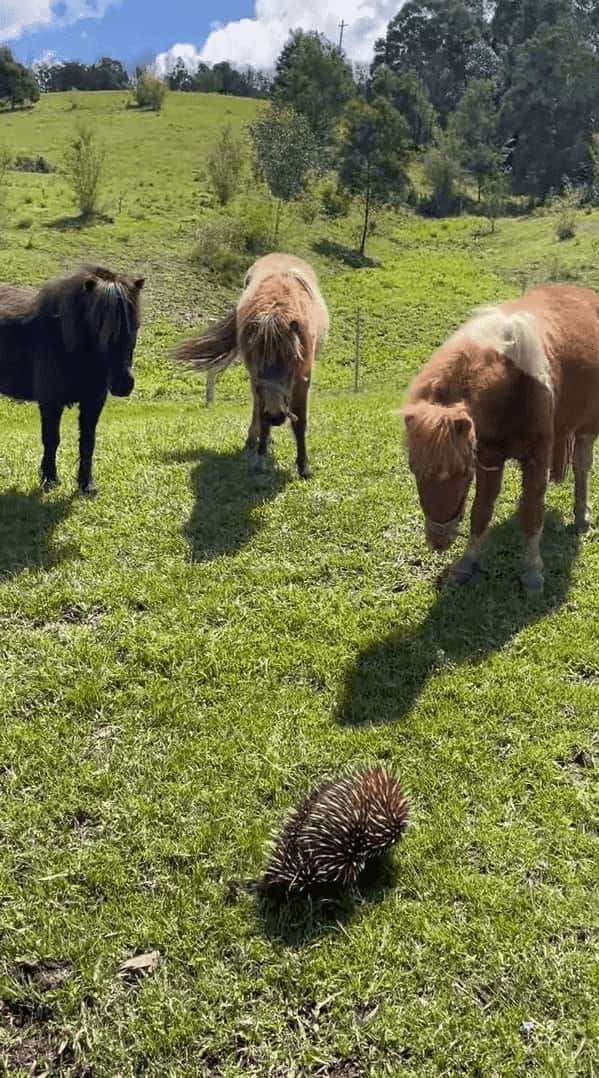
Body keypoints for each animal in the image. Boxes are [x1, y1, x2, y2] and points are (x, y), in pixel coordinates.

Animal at [0, 265, 144, 493]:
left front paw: (86, 484)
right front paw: (49, 479)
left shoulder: (93, 402)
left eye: (135, 326)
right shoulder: (50, 402)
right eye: (100, 325)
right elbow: (51, 439)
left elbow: (87, 441)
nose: (124, 383)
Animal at [175, 254, 329, 478]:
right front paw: (260, 458)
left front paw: (303, 467)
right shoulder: (257, 381)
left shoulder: (303, 379)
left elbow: (300, 421)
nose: (276, 416)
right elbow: (261, 417)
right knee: (257, 409)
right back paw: (254, 440)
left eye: (292, 360)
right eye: (257, 360)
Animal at [400, 282, 599, 595]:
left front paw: (533, 573)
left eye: (462, 472)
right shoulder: (488, 458)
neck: (512, 386)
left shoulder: (536, 458)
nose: (438, 540)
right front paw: (466, 565)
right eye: (413, 468)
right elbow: (481, 510)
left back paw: (581, 517)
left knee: (582, 467)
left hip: (587, 428)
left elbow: (532, 513)